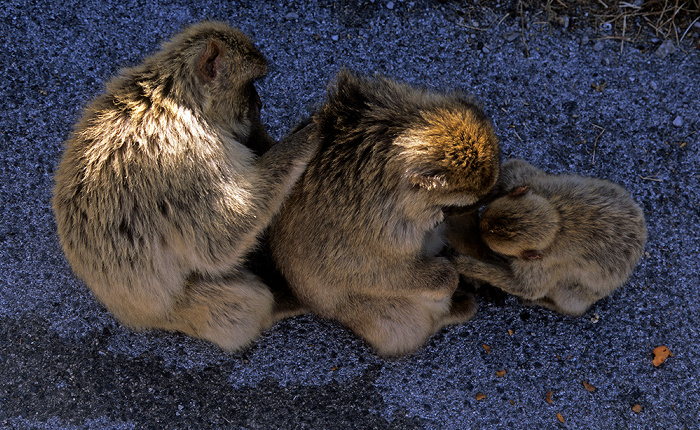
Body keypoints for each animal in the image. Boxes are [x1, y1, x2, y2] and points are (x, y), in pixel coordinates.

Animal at [54, 21, 318, 352]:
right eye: (249, 85)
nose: (259, 103)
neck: (178, 99)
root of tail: (126, 311)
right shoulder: (190, 157)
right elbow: (222, 240)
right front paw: (306, 139)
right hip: (180, 310)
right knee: (242, 301)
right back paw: (278, 304)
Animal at [452, 158, 648, 316]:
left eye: (488, 244)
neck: (558, 221)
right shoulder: (527, 182)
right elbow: (510, 170)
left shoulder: (541, 265)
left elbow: (526, 287)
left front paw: (464, 263)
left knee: (569, 298)